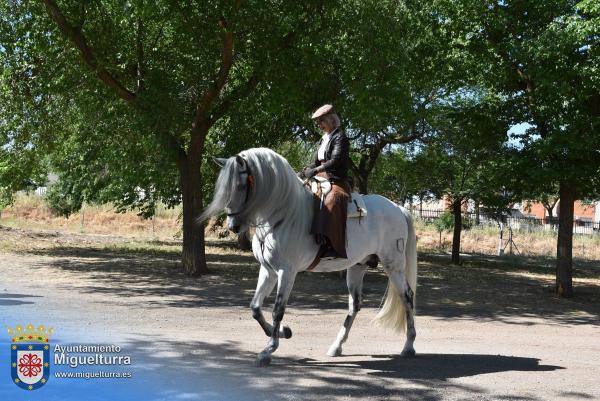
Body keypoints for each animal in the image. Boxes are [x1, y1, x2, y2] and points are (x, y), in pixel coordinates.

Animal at [202, 148, 418, 366]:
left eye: (239, 186)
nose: (233, 226)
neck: (283, 214)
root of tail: (398, 208)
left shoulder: (286, 272)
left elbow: (277, 309)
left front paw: (269, 349)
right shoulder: (268, 270)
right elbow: (255, 307)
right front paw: (283, 332)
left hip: (393, 265)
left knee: (407, 296)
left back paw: (408, 346)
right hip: (357, 266)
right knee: (355, 304)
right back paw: (336, 346)